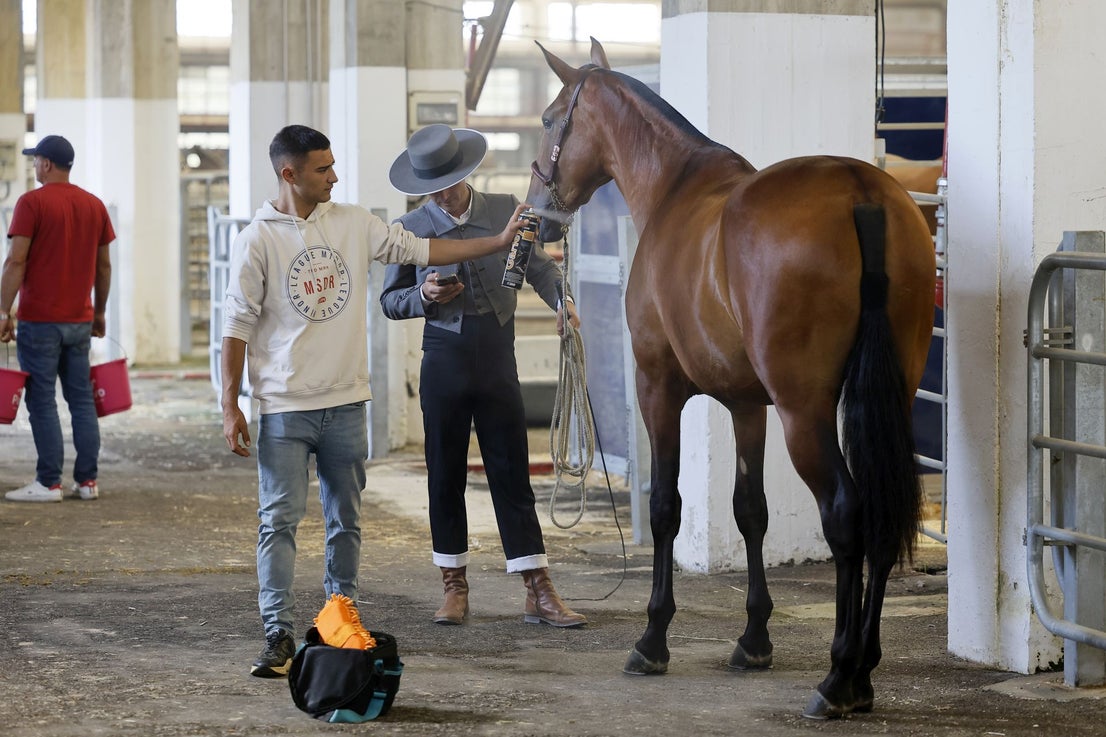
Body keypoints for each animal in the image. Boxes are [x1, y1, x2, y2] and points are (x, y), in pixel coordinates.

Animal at [526, 39, 936, 720]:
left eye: (551, 117)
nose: (537, 213)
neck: (673, 189)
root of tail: (863, 194)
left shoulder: (658, 388)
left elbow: (666, 507)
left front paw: (653, 639)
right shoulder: (748, 405)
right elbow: (751, 512)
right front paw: (754, 639)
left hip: (805, 413)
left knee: (845, 513)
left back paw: (839, 676)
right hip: (889, 398)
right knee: (880, 512)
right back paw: (866, 670)